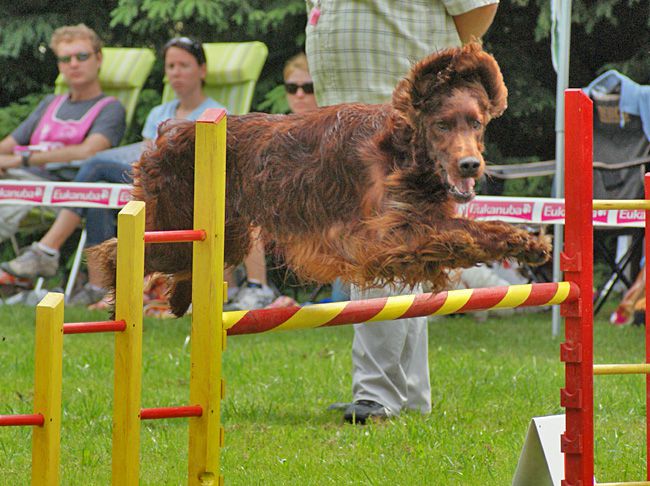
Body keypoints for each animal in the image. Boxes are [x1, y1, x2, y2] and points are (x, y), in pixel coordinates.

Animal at [88, 43, 548, 318]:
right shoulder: (384, 237)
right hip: (174, 224)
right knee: (116, 250)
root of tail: (172, 131)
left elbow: (471, 227)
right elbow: (460, 232)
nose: (471, 165)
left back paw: (180, 298)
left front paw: (526, 242)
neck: (402, 154)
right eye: (441, 125)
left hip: (225, 237)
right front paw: (518, 238)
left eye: (476, 123)